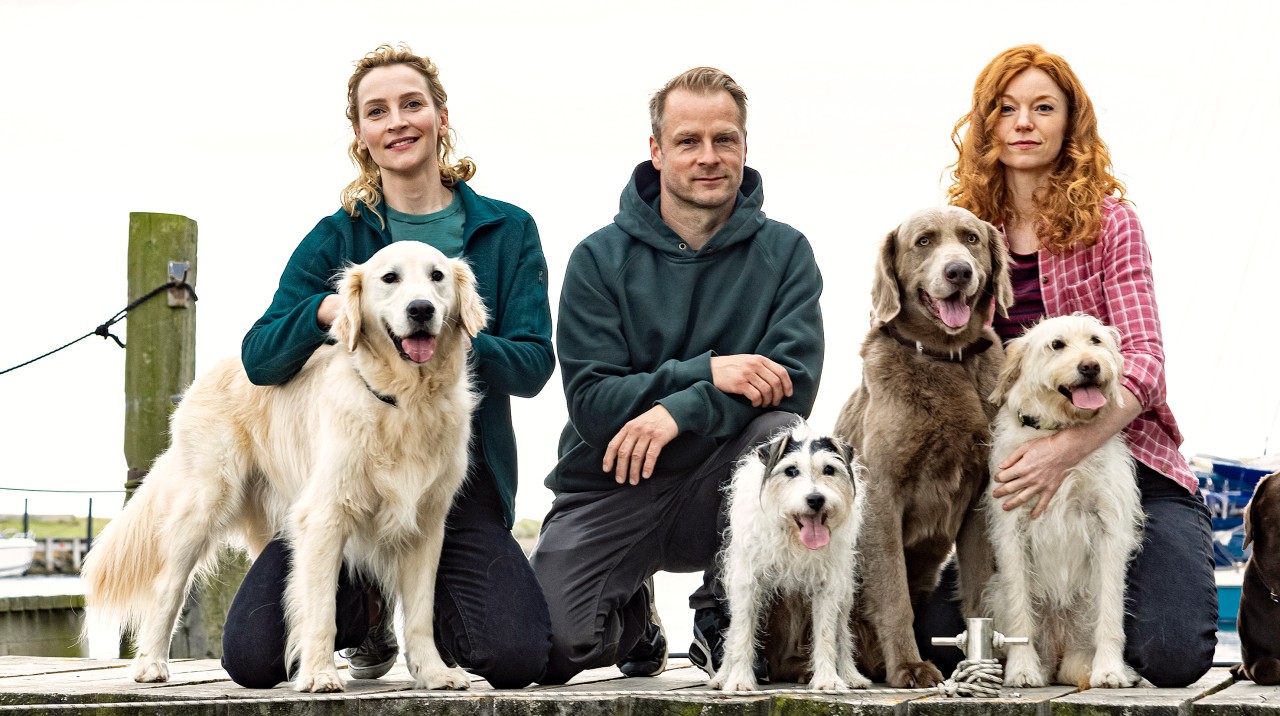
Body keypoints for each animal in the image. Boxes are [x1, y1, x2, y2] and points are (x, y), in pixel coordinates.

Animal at [80, 240, 486, 696]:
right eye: (389, 278)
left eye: (437, 276)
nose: (421, 309)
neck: (403, 401)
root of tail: (207, 375)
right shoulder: (325, 516)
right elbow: (321, 607)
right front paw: (320, 674)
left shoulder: (425, 524)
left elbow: (418, 613)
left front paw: (433, 672)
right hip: (204, 501)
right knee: (169, 586)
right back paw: (150, 663)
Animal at [706, 422, 875, 691]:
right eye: (791, 470)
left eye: (829, 469)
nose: (816, 499)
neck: (793, 537)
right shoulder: (747, 583)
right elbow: (742, 634)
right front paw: (740, 680)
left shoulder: (828, 585)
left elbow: (827, 635)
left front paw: (827, 680)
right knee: (733, 632)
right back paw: (723, 676)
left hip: (845, 590)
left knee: (842, 633)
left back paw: (851, 675)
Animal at [983, 313, 1146, 691]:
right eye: (1056, 345)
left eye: (1095, 341)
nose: (1090, 366)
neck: (1057, 430)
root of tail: (1061, 654)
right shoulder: (1011, 530)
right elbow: (1020, 614)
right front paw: (1021, 669)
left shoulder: (1108, 527)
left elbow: (1111, 614)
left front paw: (1110, 670)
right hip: (996, 595)